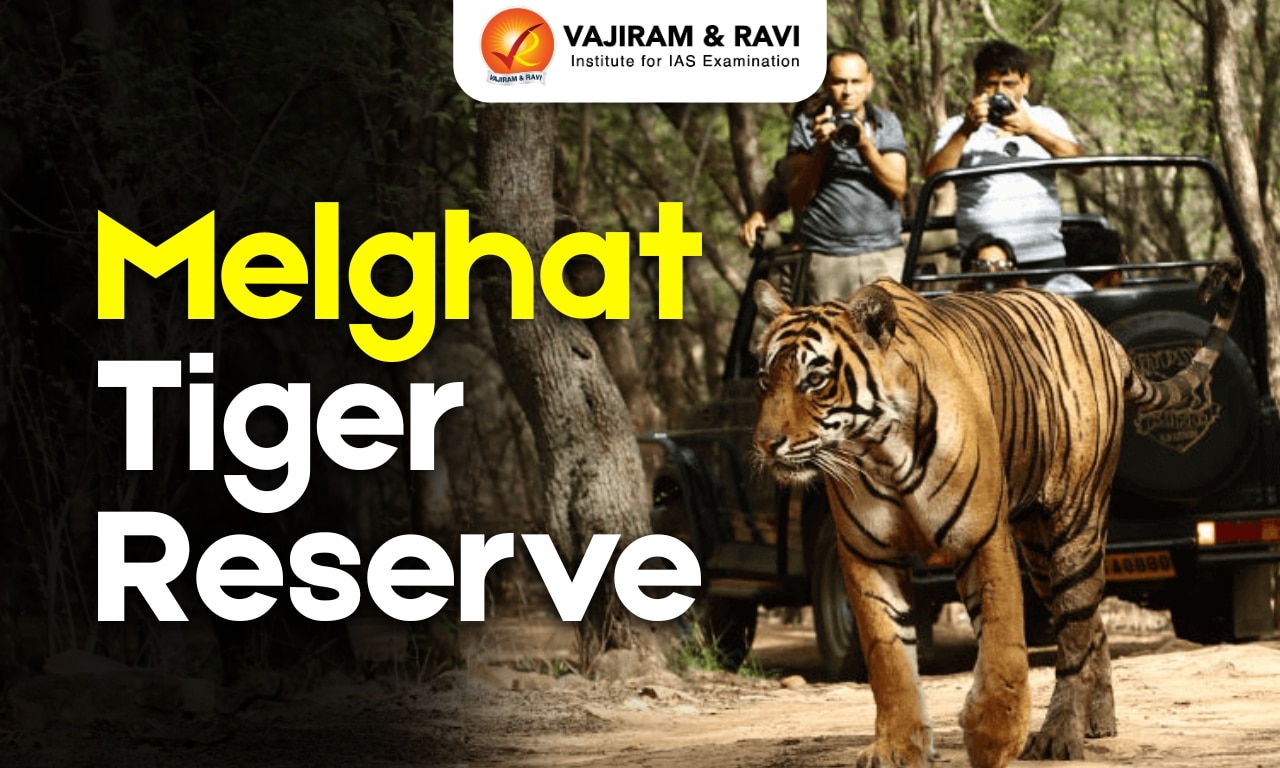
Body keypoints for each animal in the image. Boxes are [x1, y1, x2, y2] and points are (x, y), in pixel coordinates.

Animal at [751, 260, 1243, 768]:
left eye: (815, 380)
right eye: (765, 380)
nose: (765, 444)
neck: (880, 451)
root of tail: (1103, 334)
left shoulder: (982, 539)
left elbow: (1003, 645)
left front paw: (994, 739)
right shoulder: (866, 554)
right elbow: (888, 657)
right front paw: (895, 747)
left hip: (1076, 523)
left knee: (1073, 631)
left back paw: (1059, 735)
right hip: (1038, 549)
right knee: (1089, 625)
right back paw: (1098, 720)